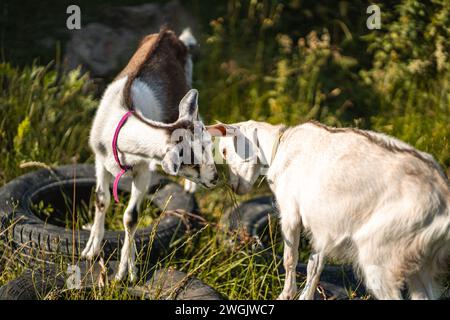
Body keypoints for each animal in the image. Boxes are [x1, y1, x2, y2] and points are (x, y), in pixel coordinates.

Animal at [85, 28, 220, 282]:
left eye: (208, 147)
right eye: (191, 160)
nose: (215, 178)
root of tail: (168, 34)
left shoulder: (142, 169)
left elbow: (131, 216)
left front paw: (126, 271)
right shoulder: (99, 159)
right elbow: (101, 199)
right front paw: (91, 250)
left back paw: (190, 187)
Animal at [208, 120, 450, 300]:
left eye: (224, 150)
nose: (233, 186)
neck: (281, 146)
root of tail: (442, 199)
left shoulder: (291, 213)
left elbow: (290, 259)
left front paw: (286, 295)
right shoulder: (325, 225)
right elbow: (314, 266)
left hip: (380, 253)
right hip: (420, 261)